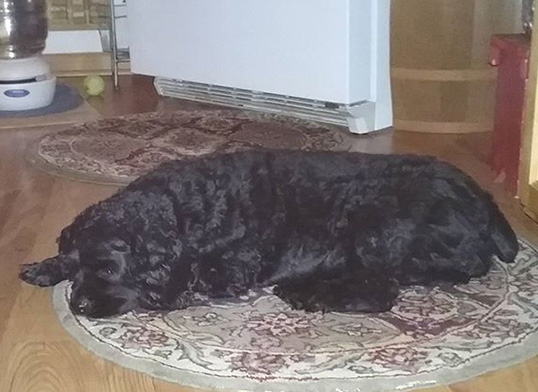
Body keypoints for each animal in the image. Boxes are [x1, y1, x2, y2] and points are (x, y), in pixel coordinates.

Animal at [18, 149, 516, 316]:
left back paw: (310, 292)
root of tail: (484, 199)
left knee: (384, 288)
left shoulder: (226, 268)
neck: (181, 211)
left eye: (108, 269)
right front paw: (45, 266)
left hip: (375, 226)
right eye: (80, 269)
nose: (78, 306)